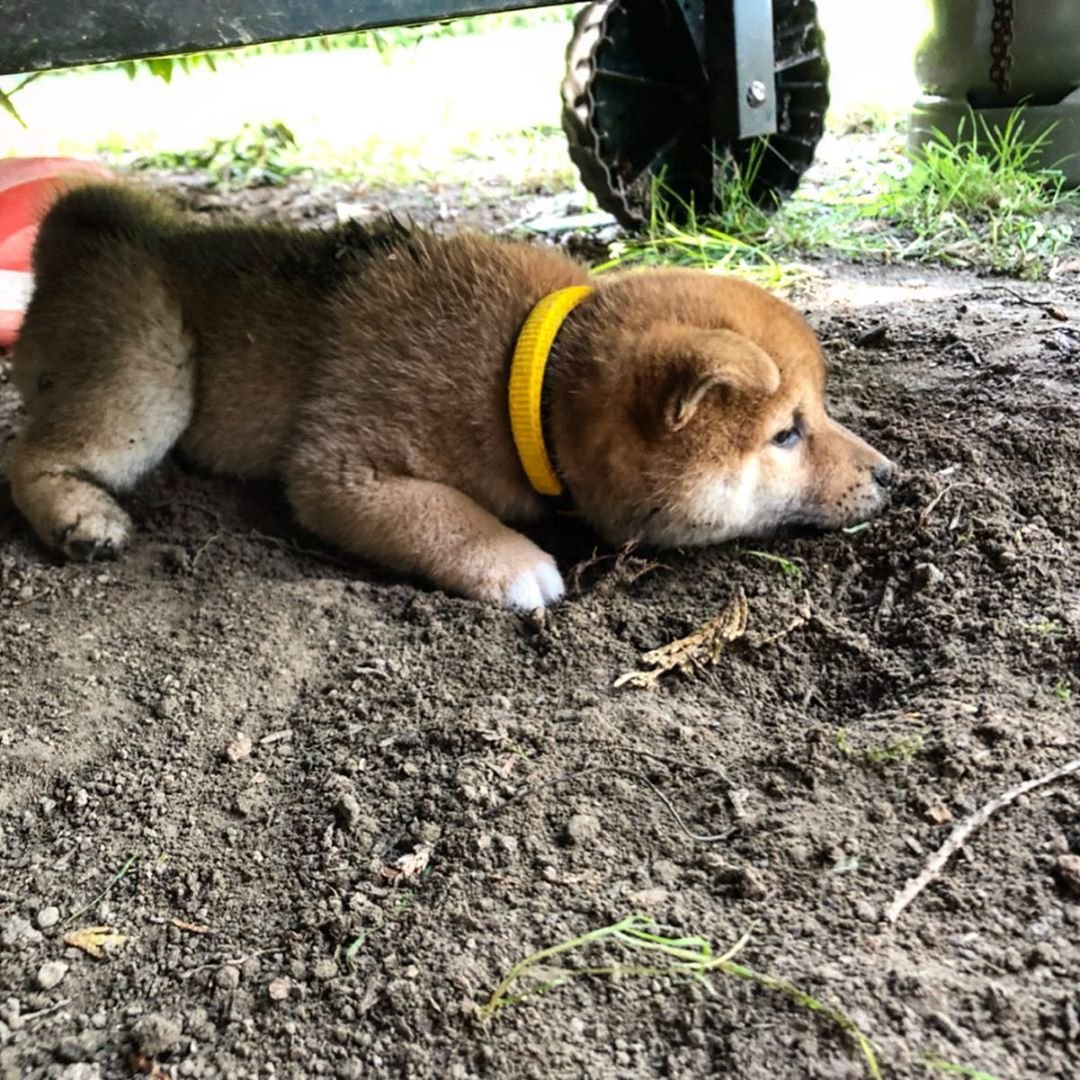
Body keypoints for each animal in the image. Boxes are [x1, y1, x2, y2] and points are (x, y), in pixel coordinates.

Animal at [6, 185, 894, 609]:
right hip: (148, 374)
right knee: (29, 453)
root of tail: (81, 233)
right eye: (786, 434)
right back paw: (82, 518)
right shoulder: (342, 468)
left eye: (822, 412)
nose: (892, 475)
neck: (523, 379)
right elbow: (443, 514)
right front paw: (513, 561)